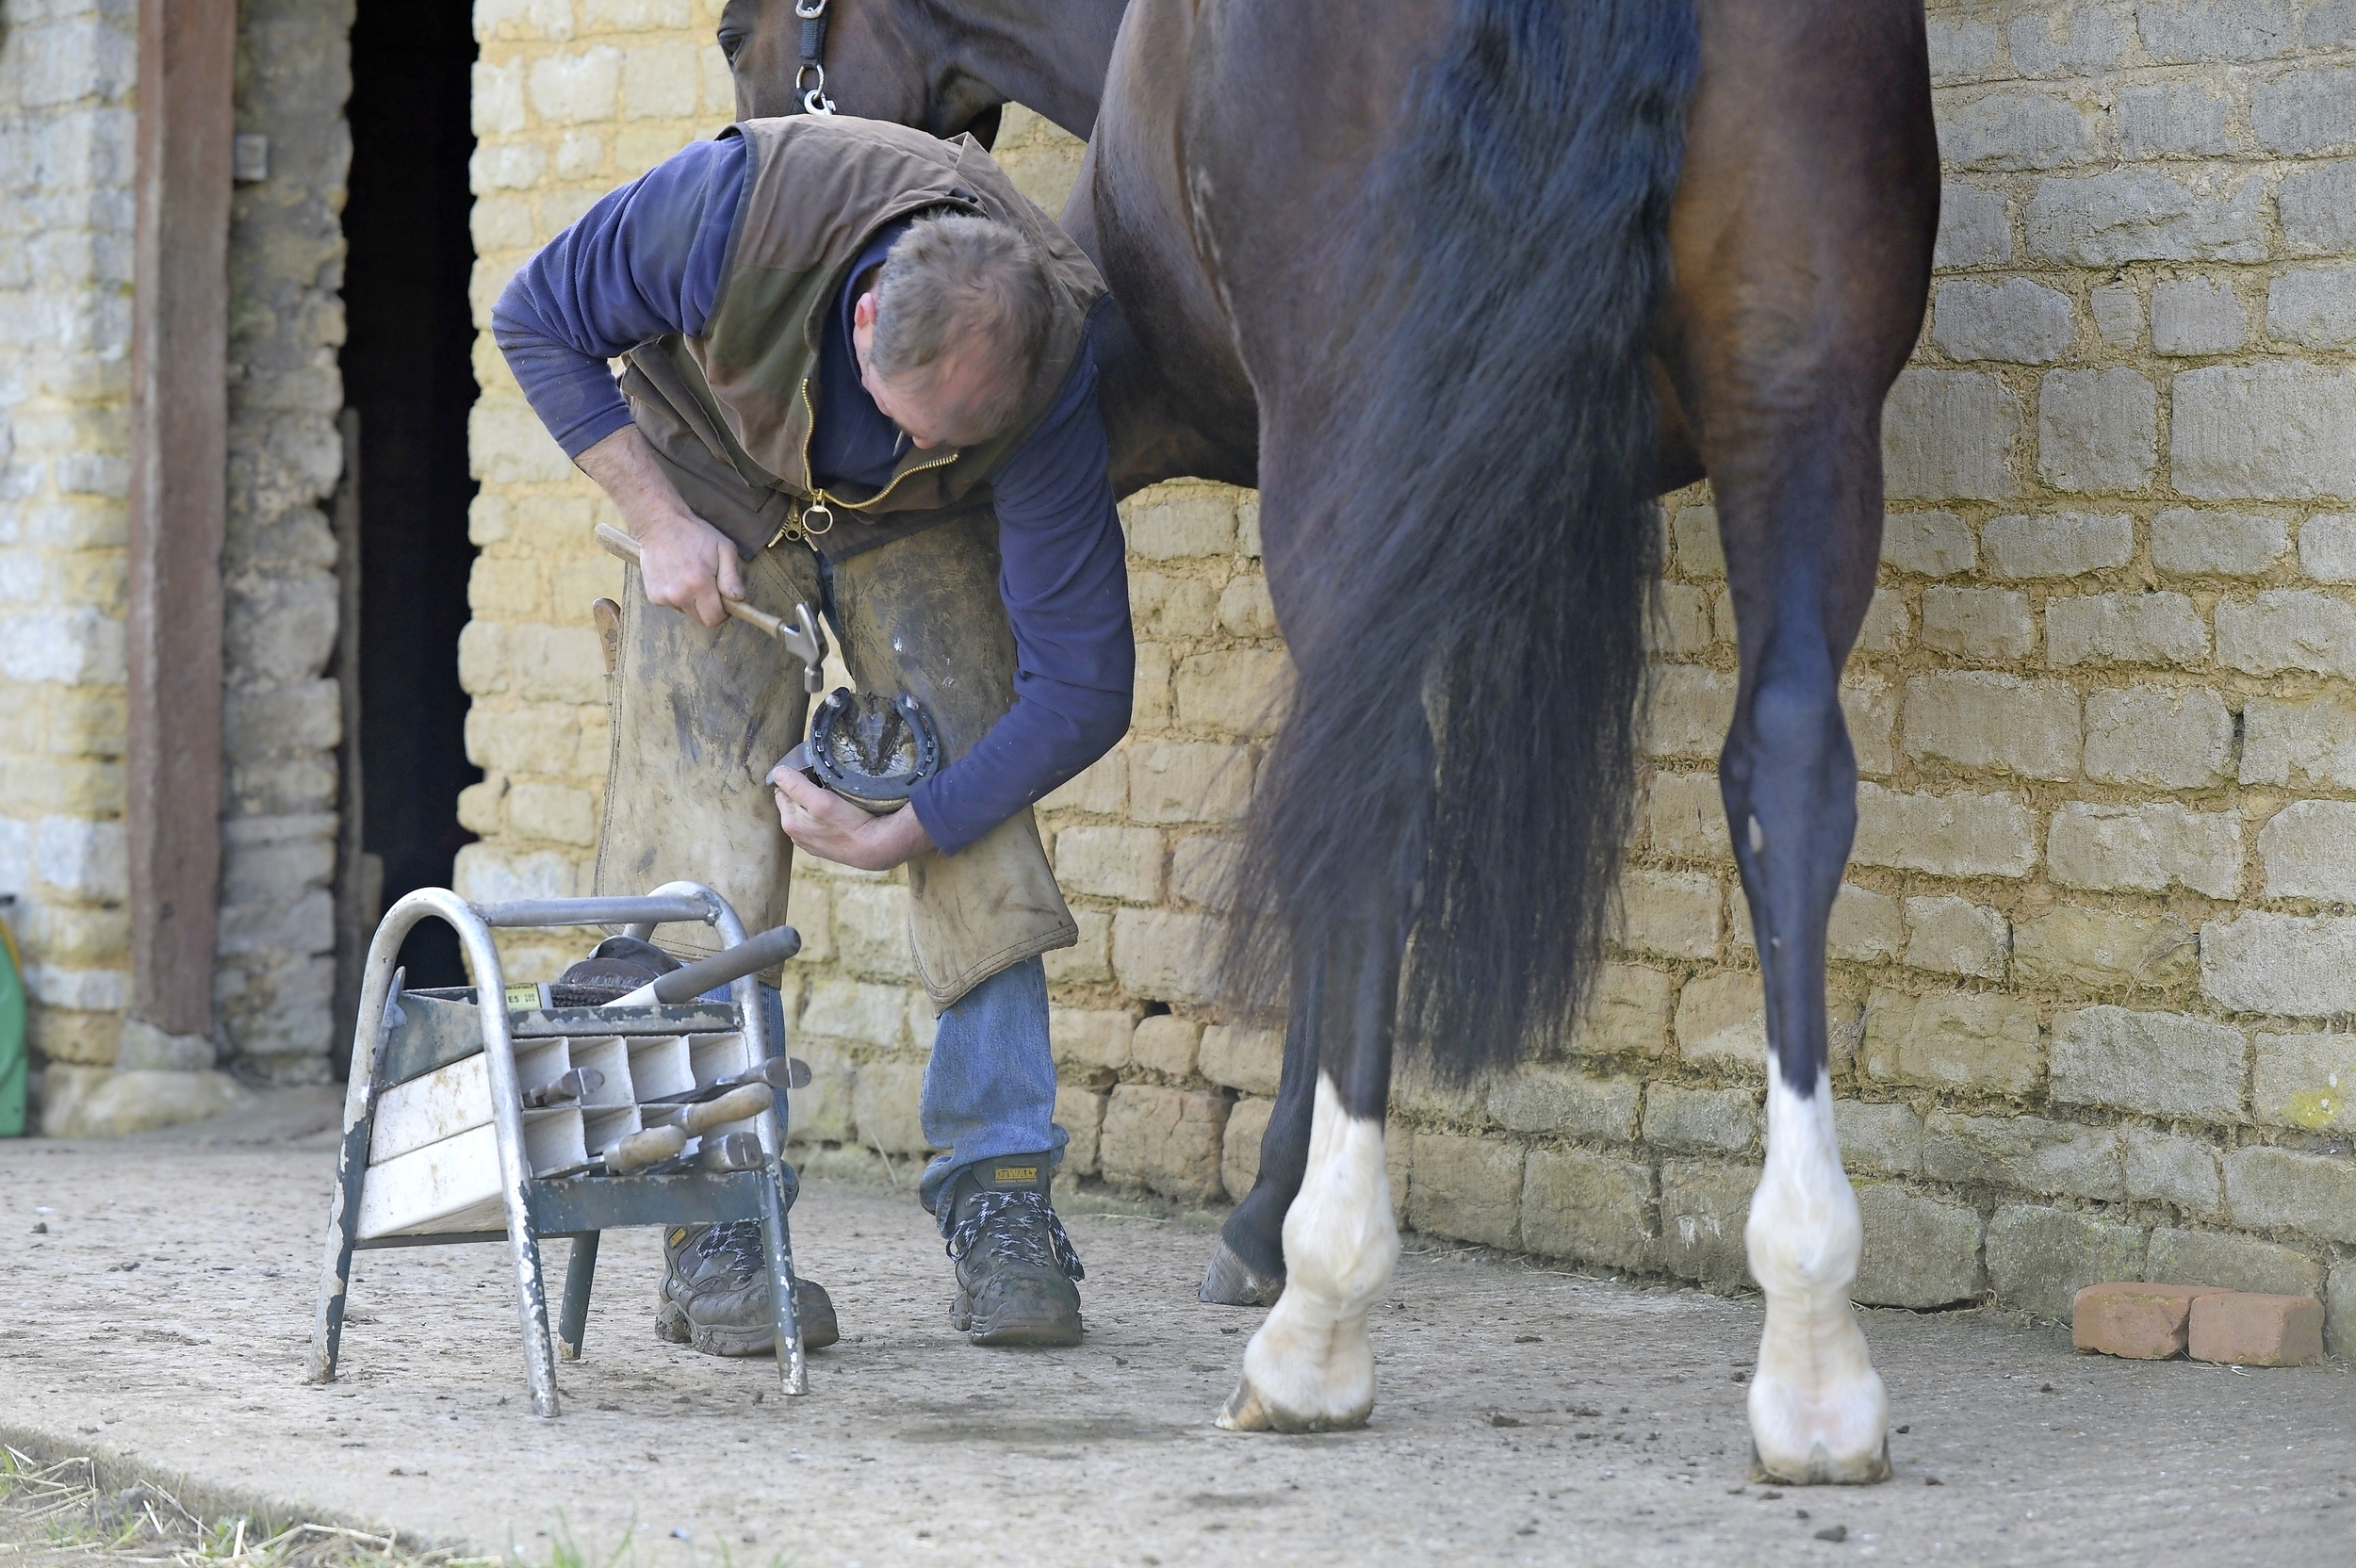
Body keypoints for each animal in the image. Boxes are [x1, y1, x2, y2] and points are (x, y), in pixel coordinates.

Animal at [720, 0, 1938, 1485]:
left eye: (732, 34)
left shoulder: (1105, 410)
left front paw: (1263, 1219)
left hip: (1353, 444)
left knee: (1382, 795)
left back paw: (1317, 1323)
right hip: (1797, 406)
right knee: (1790, 772)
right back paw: (1816, 1356)